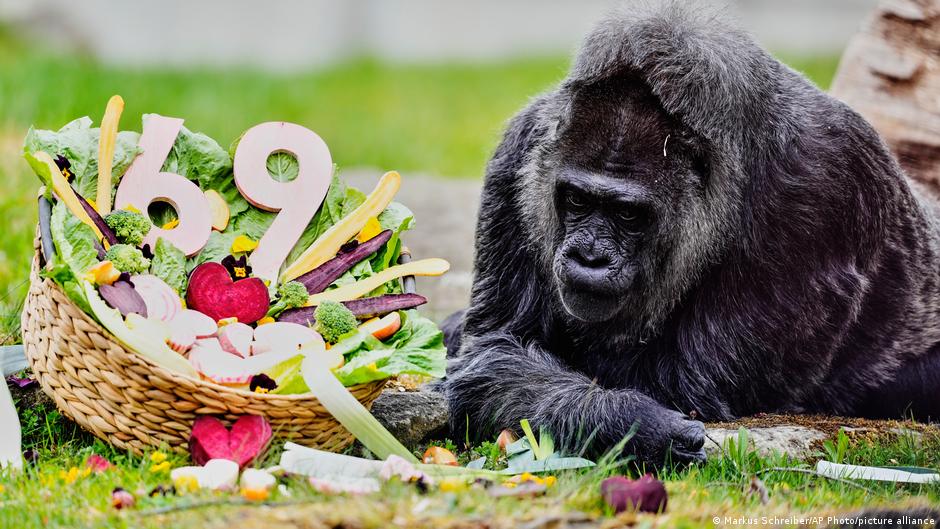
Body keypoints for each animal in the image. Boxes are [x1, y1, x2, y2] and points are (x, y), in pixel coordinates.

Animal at [441, 2, 940, 466]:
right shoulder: (520, 149)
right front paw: (625, 421)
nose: (589, 257)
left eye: (628, 215)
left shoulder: (826, 183)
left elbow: (683, 382)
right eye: (578, 201)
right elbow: (495, 349)